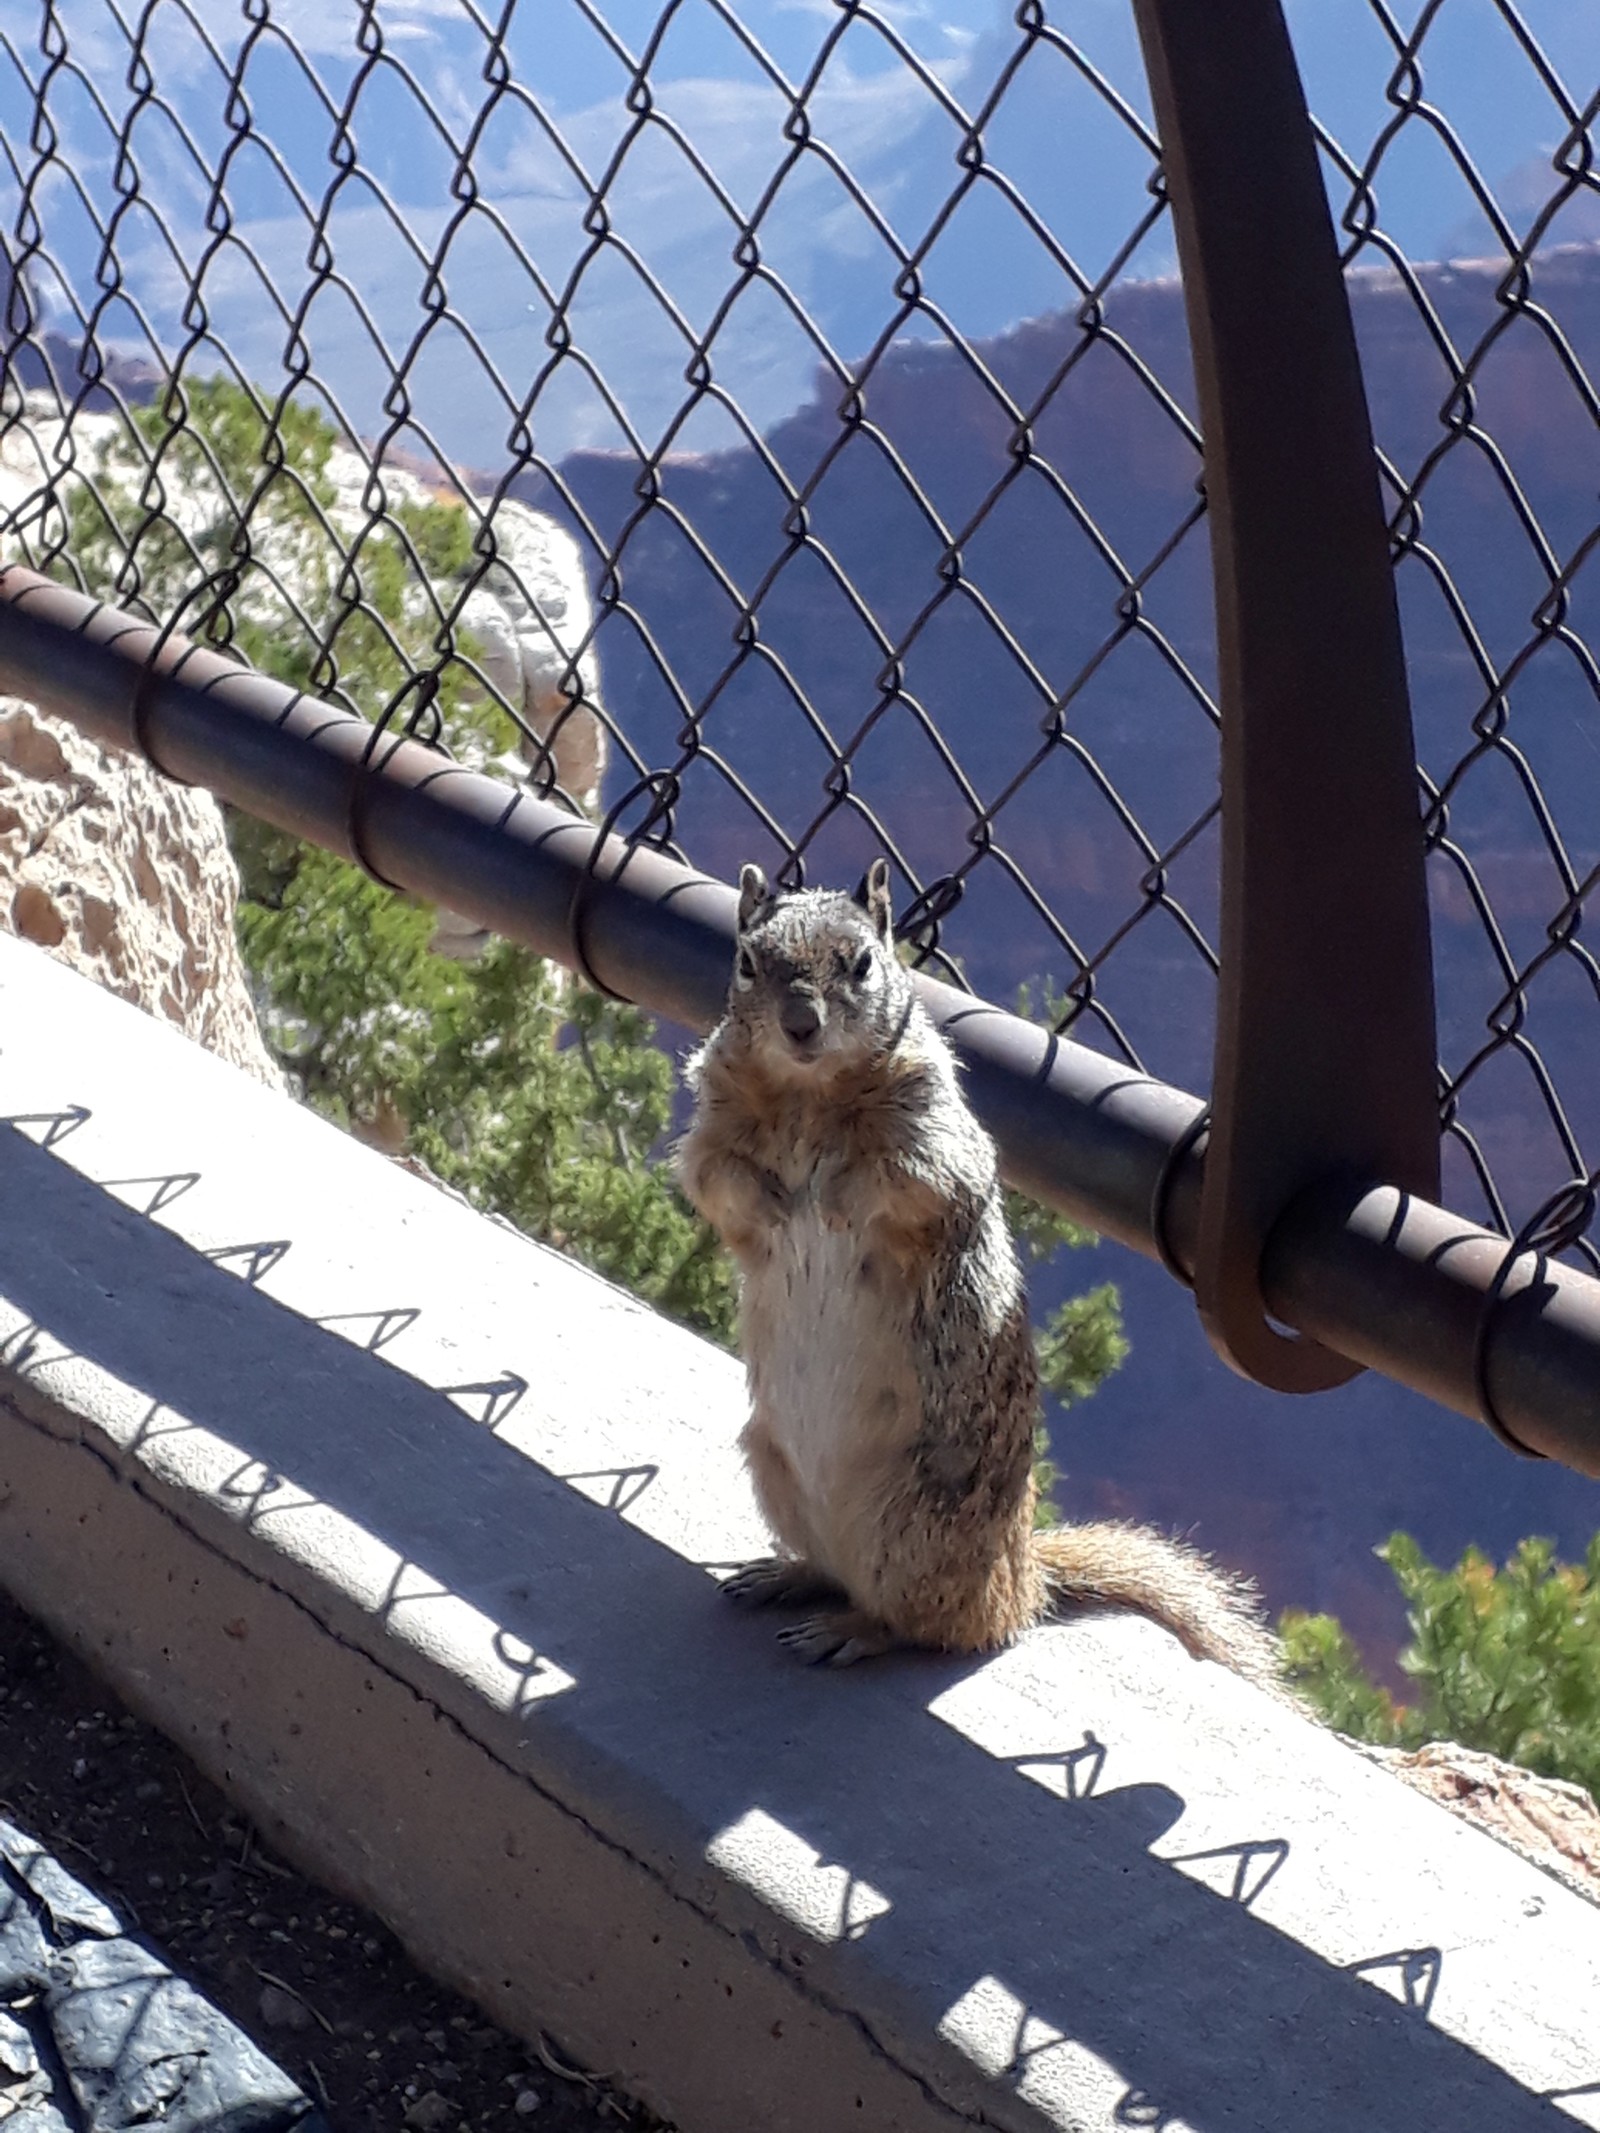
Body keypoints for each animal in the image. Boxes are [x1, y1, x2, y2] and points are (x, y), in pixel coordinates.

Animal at [682, 853, 1288, 1680]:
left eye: (862, 963)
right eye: (746, 961)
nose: (800, 1023)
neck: (807, 1091)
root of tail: (1025, 1578)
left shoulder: (935, 1137)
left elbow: (906, 1181)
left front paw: (831, 1198)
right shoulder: (711, 1127)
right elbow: (718, 1181)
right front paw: (778, 1204)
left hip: (920, 1527)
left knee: (927, 1623)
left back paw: (851, 1629)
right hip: (774, 1469)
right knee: (837, 1572)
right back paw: (785, 1574)